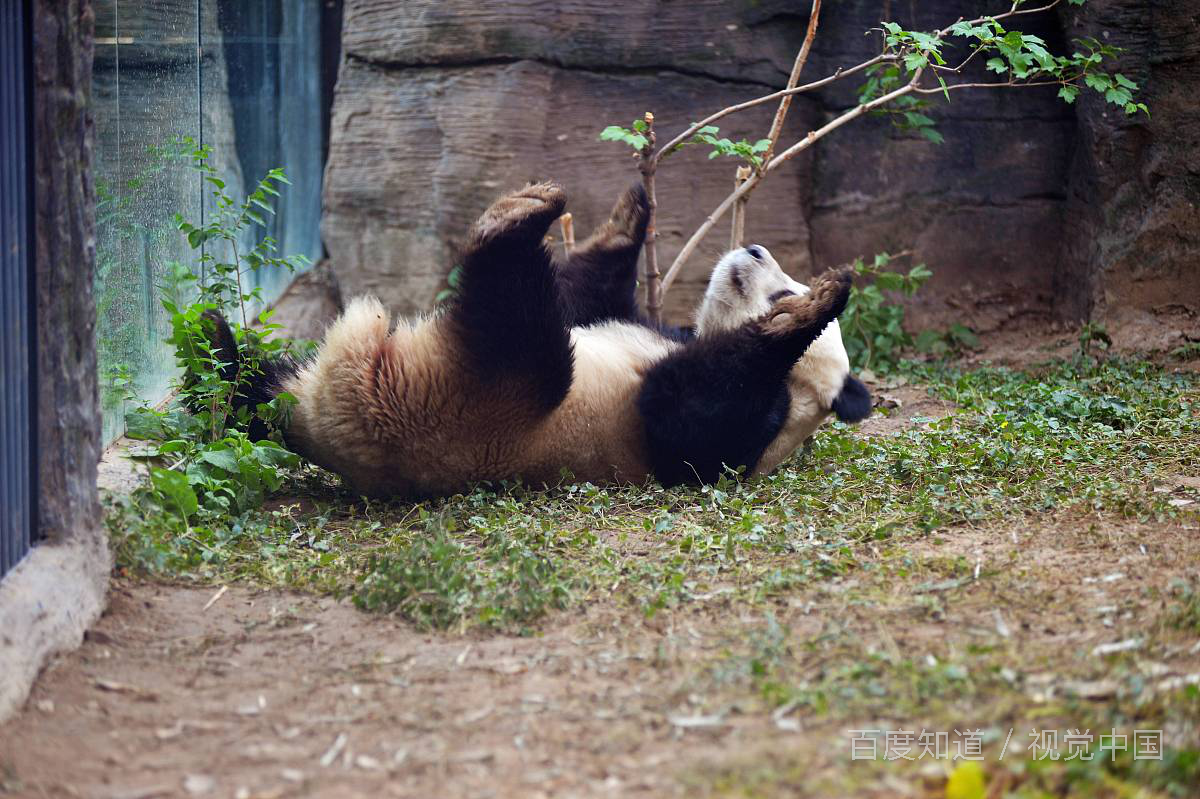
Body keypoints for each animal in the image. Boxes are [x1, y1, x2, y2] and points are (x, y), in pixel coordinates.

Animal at [201, 178, 868, 499]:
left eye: (780, 289)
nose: (753, 248)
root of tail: (344, 431)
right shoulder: (642, 325)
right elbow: (589, 298)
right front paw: (628, 217)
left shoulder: (733, 441)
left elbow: (683, 413)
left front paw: (813, 309)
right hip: (316, 400)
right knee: (262, 394)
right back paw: (216, 358)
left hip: (479, 403)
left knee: (515, 319)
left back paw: (515, 220)